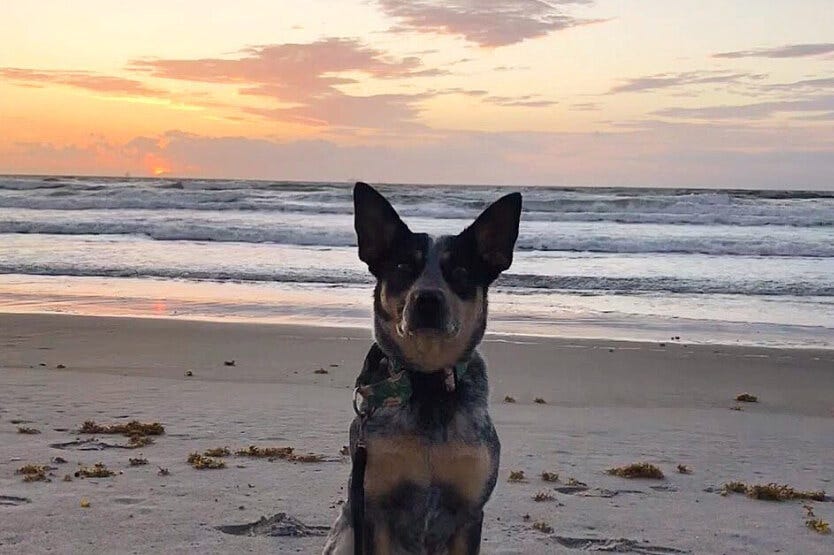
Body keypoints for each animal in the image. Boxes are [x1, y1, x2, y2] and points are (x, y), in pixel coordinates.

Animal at [320, 184, 520, 555]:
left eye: (461, 272)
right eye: (402, 267)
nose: (427, 299)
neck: (428, 383)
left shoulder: (469, 514)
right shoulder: (376, 510)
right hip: (347, 536)